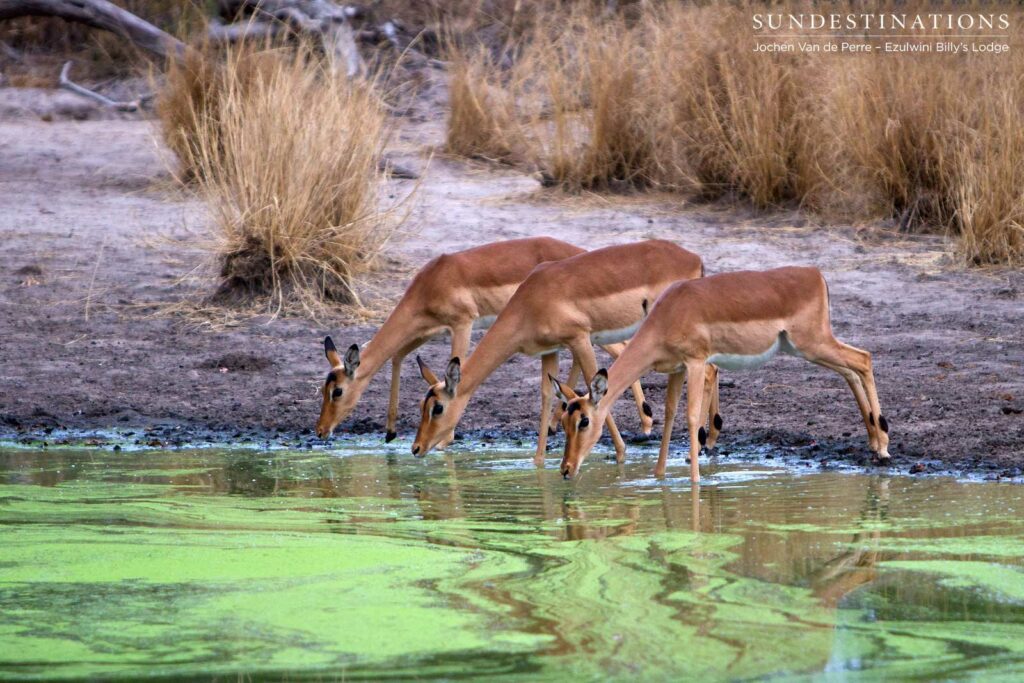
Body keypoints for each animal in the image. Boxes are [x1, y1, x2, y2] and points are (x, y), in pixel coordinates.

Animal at [315, 237, 656, 441]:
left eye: (337, 391)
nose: (320, 430)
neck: (431, 282)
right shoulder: (426, 330)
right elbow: (398, 356)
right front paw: (389, 431)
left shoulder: (462, 324)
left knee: (620, 350)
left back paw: (645, 422)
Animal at [411, 240, 715, 462]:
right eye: (420, 405)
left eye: (437, 407)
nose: (416, 448)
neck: (532, 299)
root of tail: (694, 257)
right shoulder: (550, 350)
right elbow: (547, 396)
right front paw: (538, 462)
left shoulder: (579, 338)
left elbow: (596, 388)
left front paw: (620, 454)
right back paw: (707, 440)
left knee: (709, 370)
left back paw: (702, 443)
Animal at [552, 266, 890, 482]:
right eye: (565, 420)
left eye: (584, 421)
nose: (566, 469)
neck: (669, 314)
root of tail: (815, 274)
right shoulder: (676, 369)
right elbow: (670, 413)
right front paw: (659, 476)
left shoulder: (696, 362)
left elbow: (691, 417)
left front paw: (695, 479)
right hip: (806, 349)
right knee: (851, 370)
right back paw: (874, 444)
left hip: (813, 344)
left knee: (863, 359)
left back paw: (885, 448)